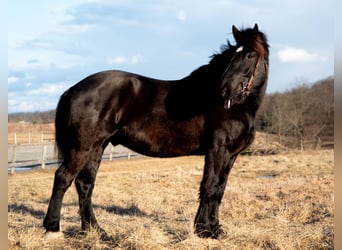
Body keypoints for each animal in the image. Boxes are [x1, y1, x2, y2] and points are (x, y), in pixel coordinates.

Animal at [42, 24, 268, 239]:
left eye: (250, 55)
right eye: (232, 56)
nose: (225, 89)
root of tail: (73, 89)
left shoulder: (231, 155)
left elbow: (219, 189)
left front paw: (214, 228)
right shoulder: (217, 151)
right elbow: (209, 187)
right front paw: (205, 230)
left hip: (97, 147)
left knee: (85, 184)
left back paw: (95, 230)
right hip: (82, 147)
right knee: (63, 178)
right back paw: (52, 227)